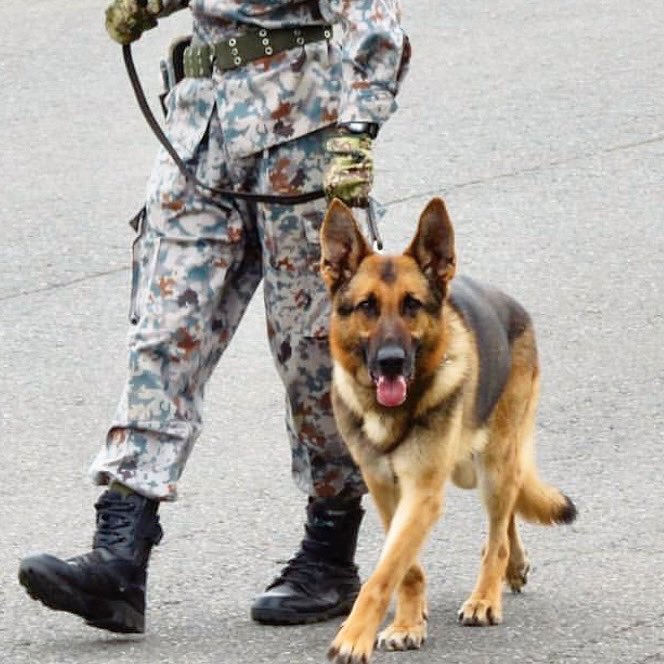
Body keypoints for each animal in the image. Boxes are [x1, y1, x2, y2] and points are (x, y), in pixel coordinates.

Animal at [322, 198, 576, 664]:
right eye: (367, 306)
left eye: (412, 305)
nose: (390, 361)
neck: (393, 413)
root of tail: (513, 306)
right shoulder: (386, 488)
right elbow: (404, 567)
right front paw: (408, 623)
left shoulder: (423, 491)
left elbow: (383, 574)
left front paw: (355, 635)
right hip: (469, 469)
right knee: (508, 514)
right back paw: (514, 566)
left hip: (493, 463)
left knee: (497, 532)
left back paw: (486, 597)